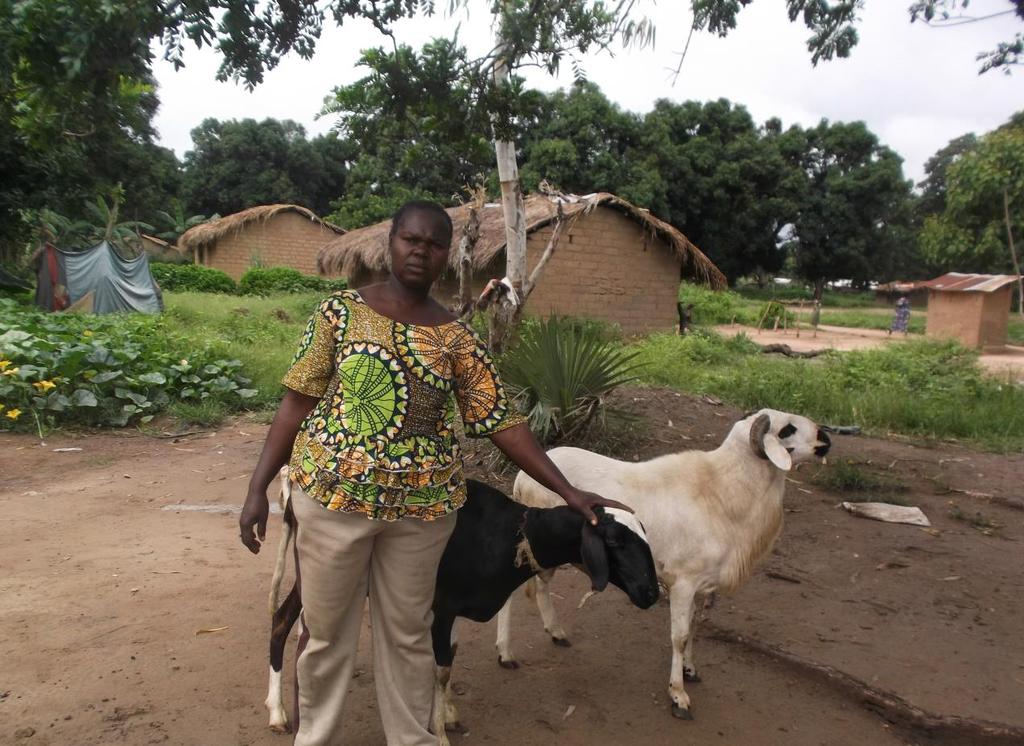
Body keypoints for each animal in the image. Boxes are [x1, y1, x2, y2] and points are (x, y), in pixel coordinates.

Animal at [495, 409, 831, 720]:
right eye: (787, 429)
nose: (825, 439)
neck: (722, 490)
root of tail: (520, 479)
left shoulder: (701, 587)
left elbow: (694, 628)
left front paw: (691, 671)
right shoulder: (683, 583)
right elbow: (679, 637)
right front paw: (678, 696)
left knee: (541, 587)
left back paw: (556, 632)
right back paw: (505, 653)